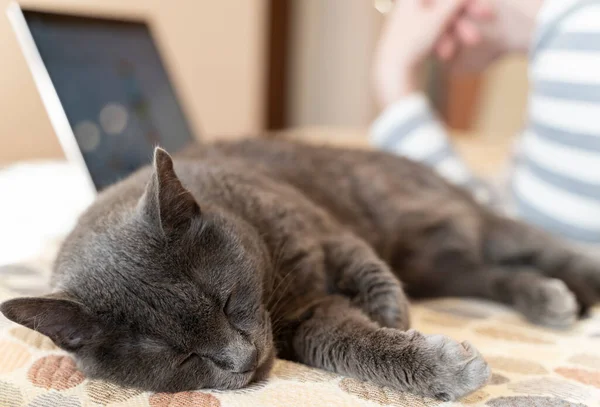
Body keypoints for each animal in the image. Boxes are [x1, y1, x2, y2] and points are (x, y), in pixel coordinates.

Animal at [2, 138, 596, 402]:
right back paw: (549, 298)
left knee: (538, 246)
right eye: (183, 356)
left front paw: (391, 315)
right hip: (441, 268)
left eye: (226, 301)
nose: (241, 359)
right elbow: (350, 346)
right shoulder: (307, 321)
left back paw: (575, 285)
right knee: (489, 275)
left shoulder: (323, 228)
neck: (277, 290)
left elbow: (365, 266)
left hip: (450, 222)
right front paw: (439, 368)